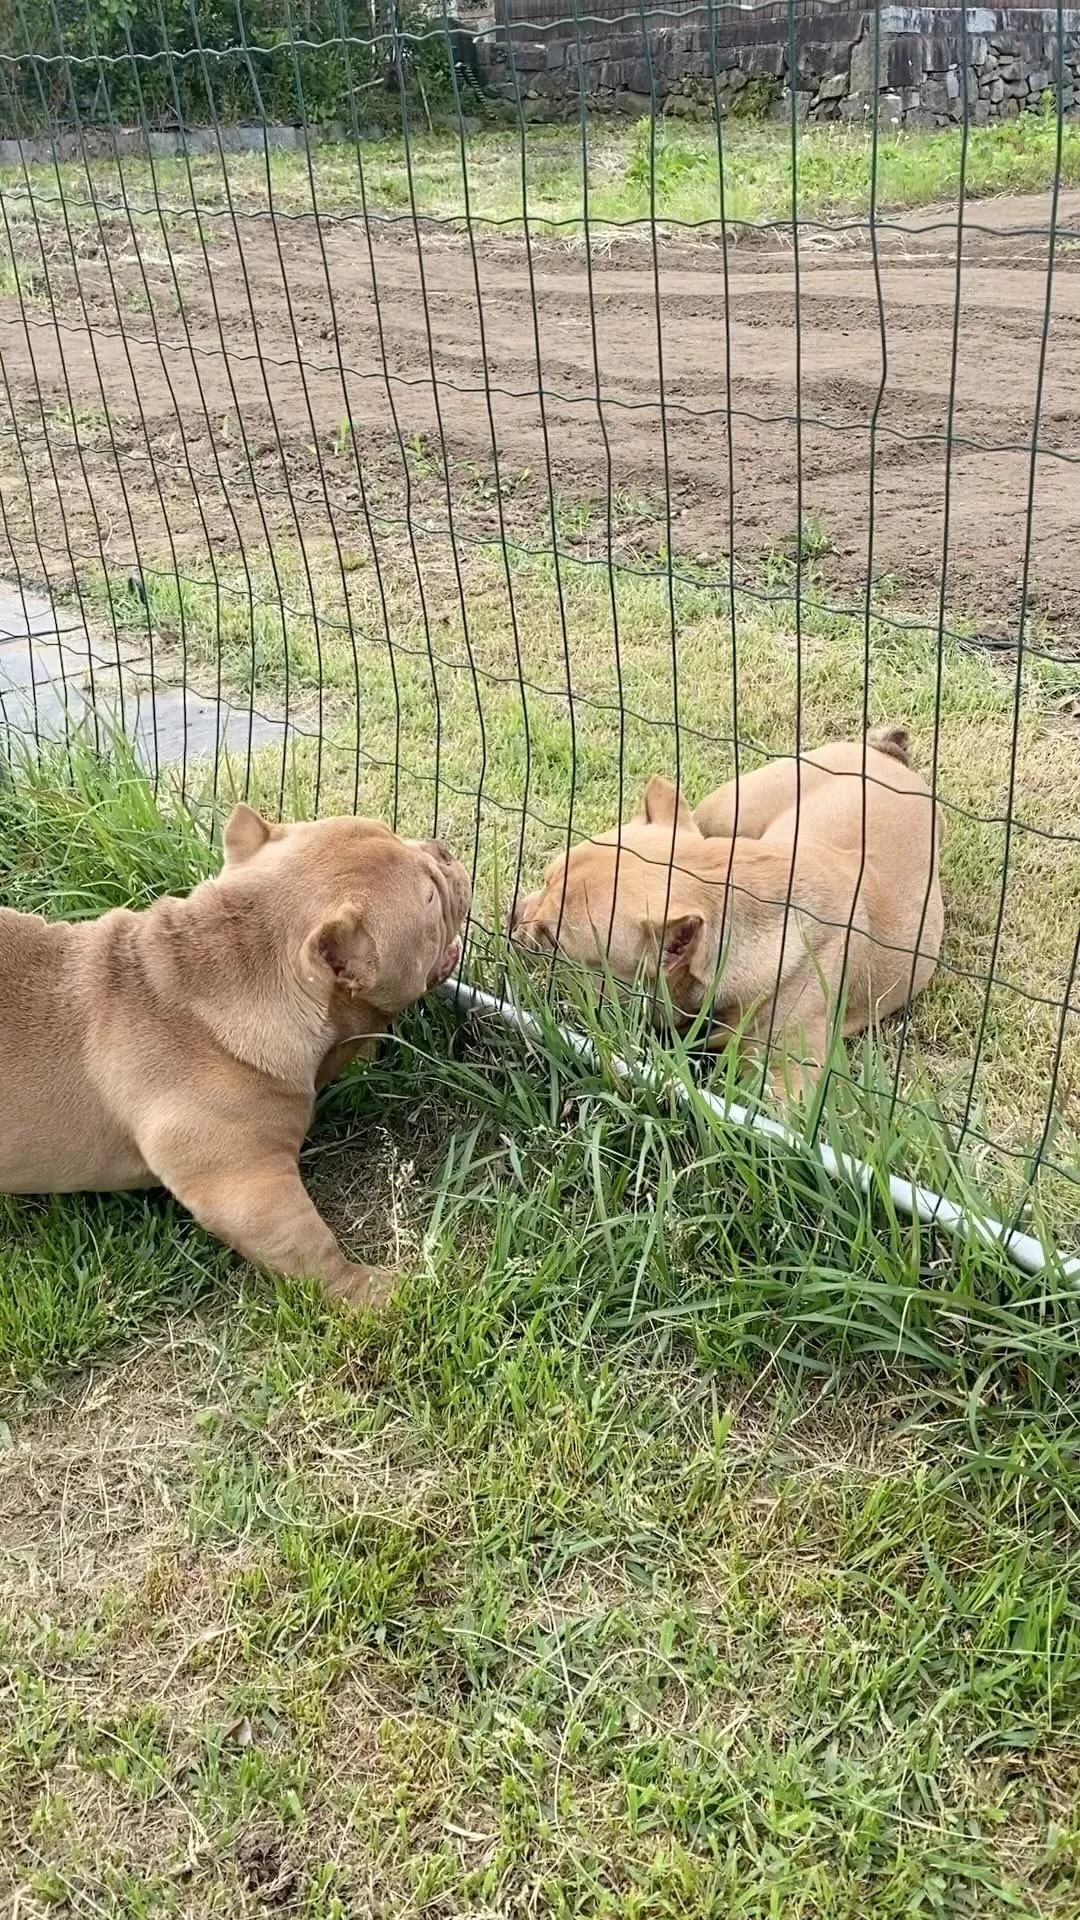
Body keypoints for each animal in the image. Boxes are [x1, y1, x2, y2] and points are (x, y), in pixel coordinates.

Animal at [1, 802, 470, 1313]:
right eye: (429, 898)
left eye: (390, 829)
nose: (443, 850)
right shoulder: (246, 1181)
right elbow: (306, 1243)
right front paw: (373, 1291)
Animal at [507, 729, 937, 1098]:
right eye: (544, 879)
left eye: (551, 938)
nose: (512, 915)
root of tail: (885, 754)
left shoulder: (789, 1080)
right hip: (728, 809)